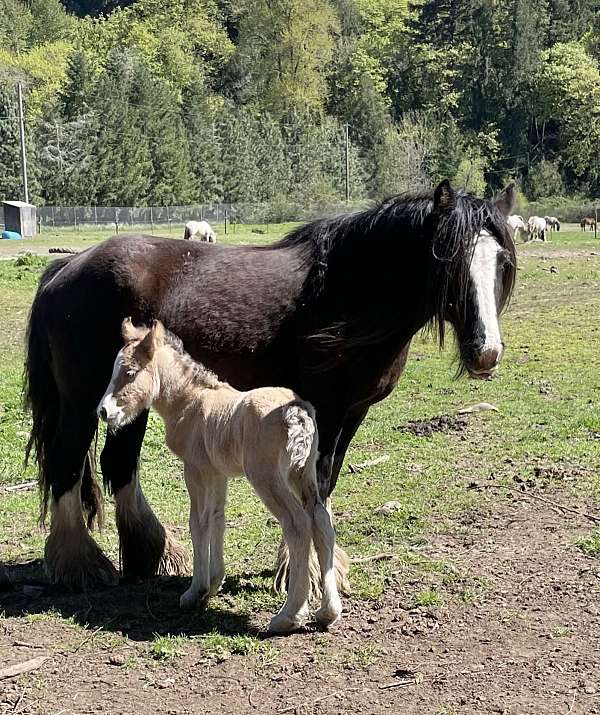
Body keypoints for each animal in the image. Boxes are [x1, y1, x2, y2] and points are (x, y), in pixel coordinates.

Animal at [23, 180, 516, 592]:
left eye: (501, 263)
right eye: (450, 263)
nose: (486, 353)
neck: (347, 291)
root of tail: (68, 265)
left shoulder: (352, 413)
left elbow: (325, 485)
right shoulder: (325, 411)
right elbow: (314, 484)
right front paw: (309, 572)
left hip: (131, 401)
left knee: (120, 465)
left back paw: (152, 554)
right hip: (83, 402)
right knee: (67, 463)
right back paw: (79, 565)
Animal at [99, 318, 342, 632]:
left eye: (129, 372)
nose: (104, 412)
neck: (189, 402)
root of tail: (297, 414)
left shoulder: (195, 469)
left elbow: (198, 522)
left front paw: (195, 592)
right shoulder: (217, 473)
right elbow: (217, 518)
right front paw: (213, 584)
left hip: (267, 477)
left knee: (297, 525)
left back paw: (288, 616)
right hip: (303, 472)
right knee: (321, 521)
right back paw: (328, 612)